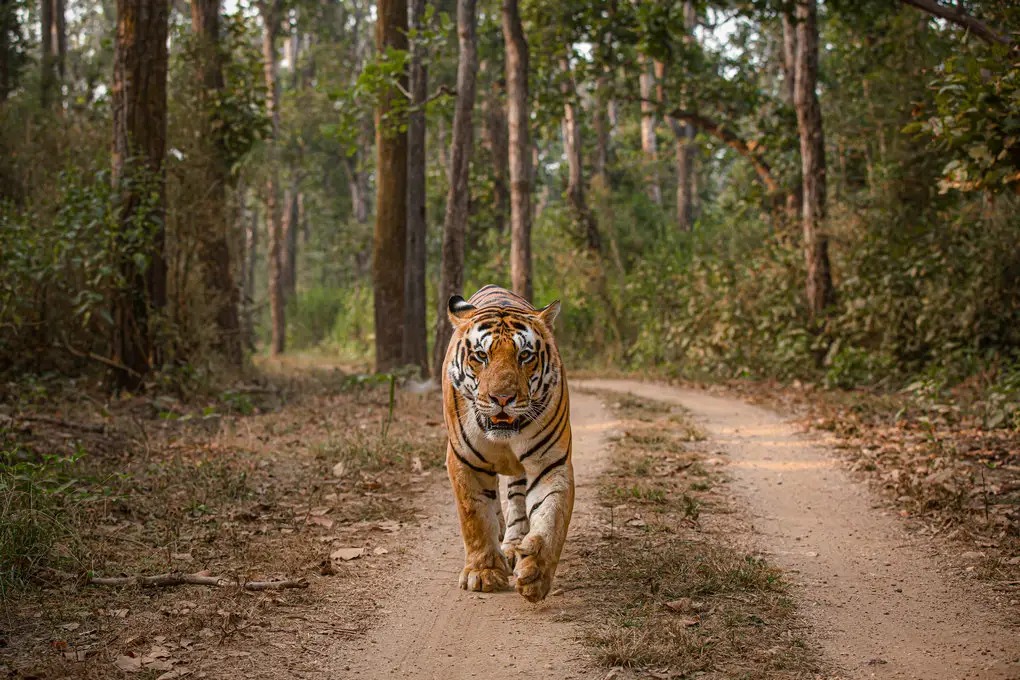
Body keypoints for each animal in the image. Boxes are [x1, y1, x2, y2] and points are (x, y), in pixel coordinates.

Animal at [441, 284, 574, 603]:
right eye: (481, 355)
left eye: (524, 355)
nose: (502, 398)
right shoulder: (464, 462)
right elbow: (475, 516)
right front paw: (484, 573)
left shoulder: (551, 463)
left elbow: (552, 516)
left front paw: (536, 571)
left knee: (516, 498)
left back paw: (514, 545)